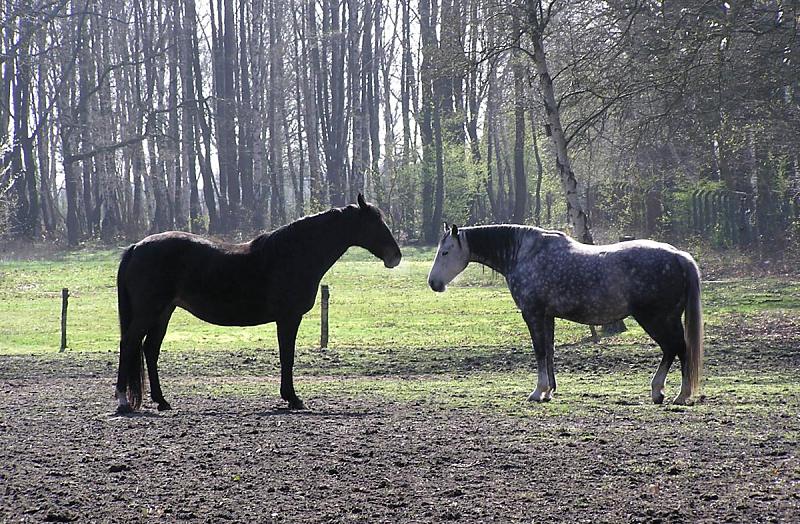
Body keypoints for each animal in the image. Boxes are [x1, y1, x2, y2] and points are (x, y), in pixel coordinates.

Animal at [114, 193, 400, 414]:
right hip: (149, 312)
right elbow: (287, 357)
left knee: (150, 349)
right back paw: (123, 402)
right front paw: (292, 398)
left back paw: (162, 401)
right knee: (129, 344)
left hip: (163, 312)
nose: (395, 256)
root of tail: (136, 247)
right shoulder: (288, 318)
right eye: (374, 223)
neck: (293, 254)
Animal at [428, 225, 704, 406]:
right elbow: (549, 351)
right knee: (673, 350)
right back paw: (661, 392)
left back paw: (678, 395)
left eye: (445, 252)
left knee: (677, 349)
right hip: (664, 319)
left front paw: (538, 391)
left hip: (657, 319)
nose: (433, 283)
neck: (525, 253)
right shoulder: (546, 316)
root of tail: (680, 257)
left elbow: (540, 351)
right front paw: (549, 391)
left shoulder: (533, 314)